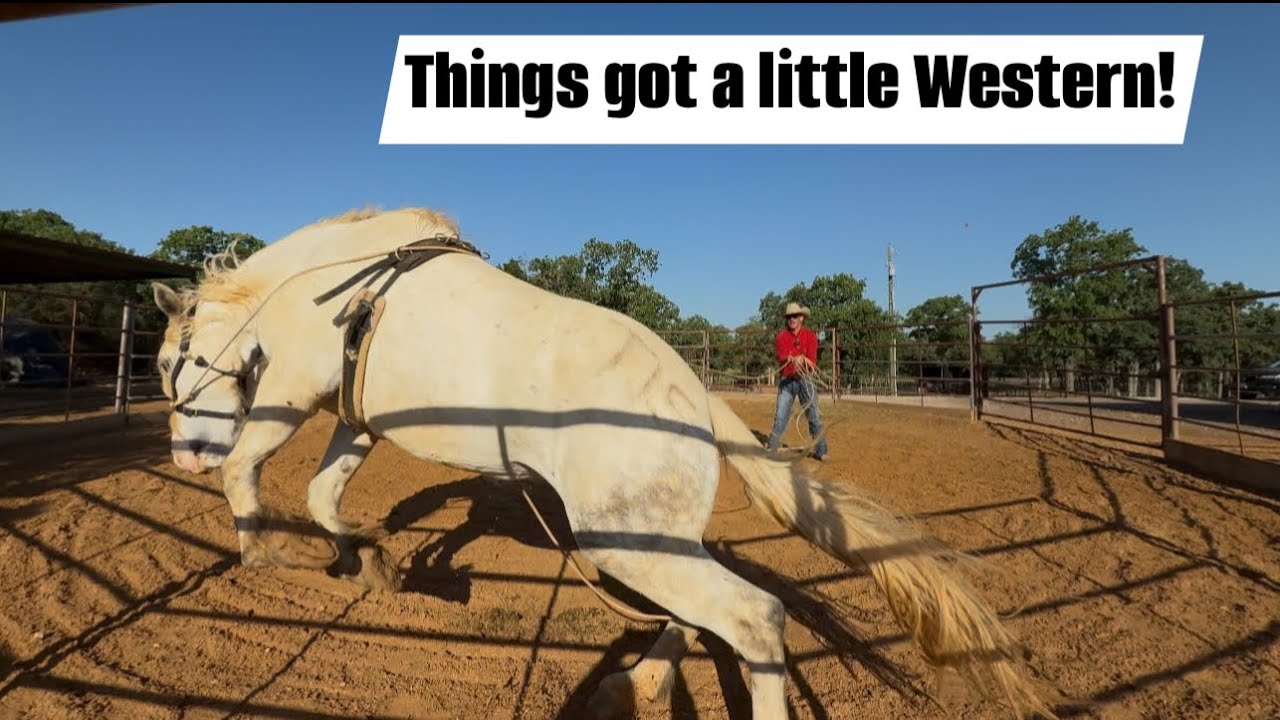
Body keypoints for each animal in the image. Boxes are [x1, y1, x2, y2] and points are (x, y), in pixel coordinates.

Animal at [147, 206, 1059, 720]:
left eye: (170, 363)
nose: (182, 454)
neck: (327, 285)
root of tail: (697, 399)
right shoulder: (357, 421)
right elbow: (325, 495)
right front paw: (374, 561)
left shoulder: (287, 395)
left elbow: (251, 474)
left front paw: (270, 557)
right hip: (648, 541)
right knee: (693, 620)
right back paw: (633, 686)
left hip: (624, 540)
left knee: (753, 619)